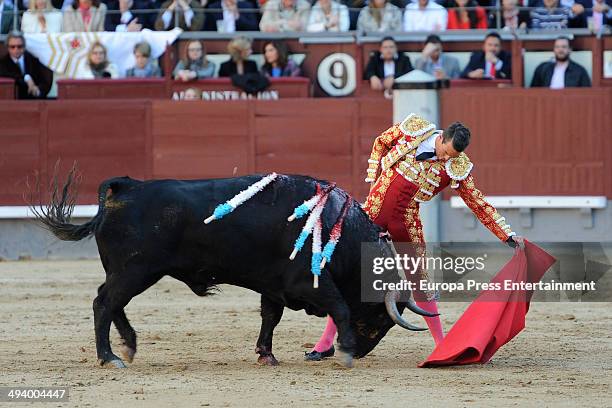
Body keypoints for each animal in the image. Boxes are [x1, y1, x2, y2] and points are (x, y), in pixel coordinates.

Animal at [33, 171, 436, 368]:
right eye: (381, 319)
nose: (363, 351)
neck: (340, 227)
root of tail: (125, 189)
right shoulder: (309, 282)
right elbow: (339, 308)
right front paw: (347, 352)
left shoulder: (275, 285)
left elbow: (270, 317)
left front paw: (266, 355)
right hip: (135, 271)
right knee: (105, 304)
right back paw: (111, 357)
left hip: (130, 273)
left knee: (112, 303)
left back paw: (128, 347)